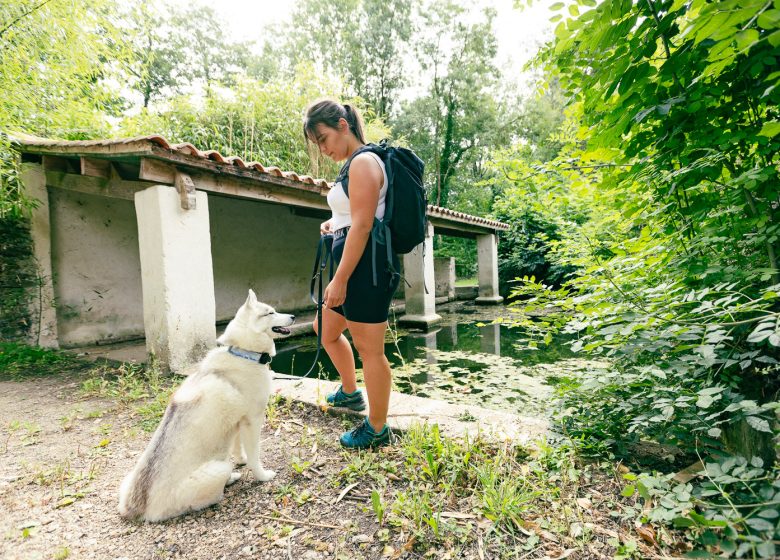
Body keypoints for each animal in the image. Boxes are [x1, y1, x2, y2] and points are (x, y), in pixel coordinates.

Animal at [117, 290, 294, 524]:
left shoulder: (238, 422)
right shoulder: (253, 420)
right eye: (270, 313)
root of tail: (138, 510)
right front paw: (262, 476)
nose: (293, 316)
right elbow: (255, 456)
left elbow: (238, 448)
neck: (244, 353)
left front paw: (241, 461)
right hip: (218, 468)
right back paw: (229, 480)